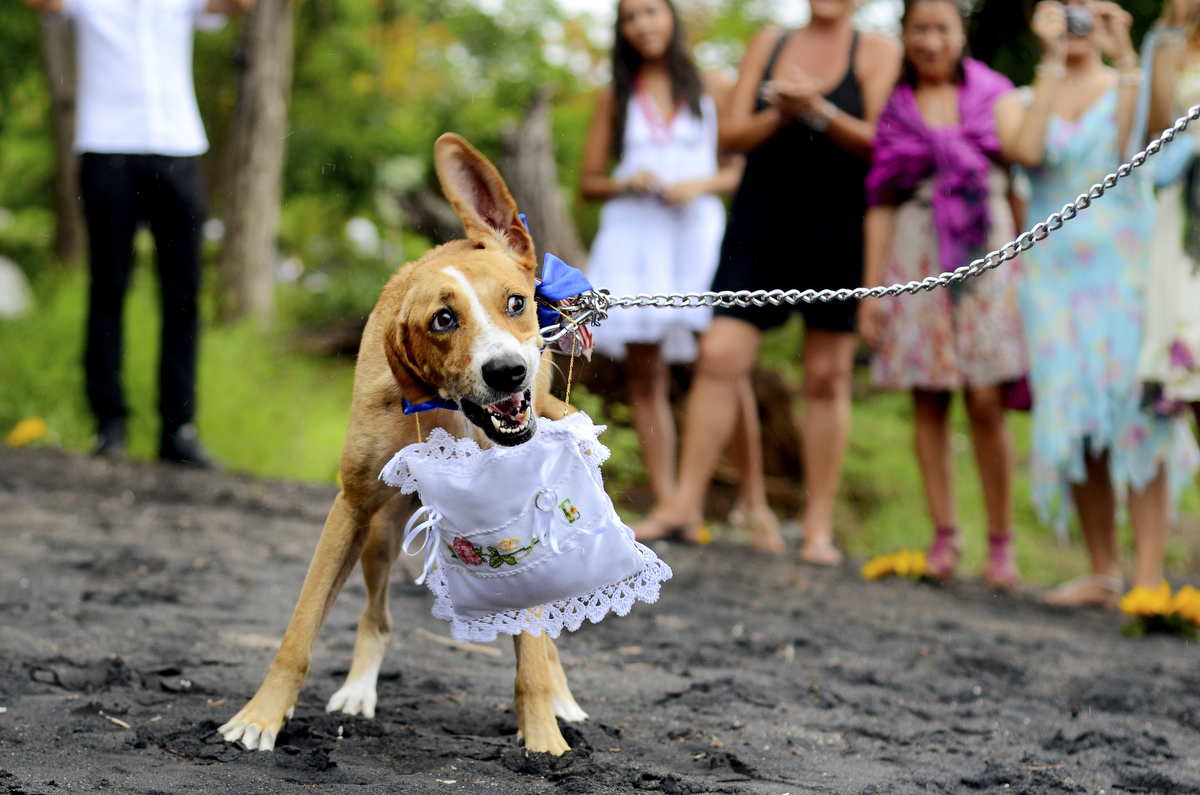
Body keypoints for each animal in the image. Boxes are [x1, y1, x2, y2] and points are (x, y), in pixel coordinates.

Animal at [222, 133, 590, 758]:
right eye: (443, 320)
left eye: (515, 303)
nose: (508, 372)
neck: (451, 414)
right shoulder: (350, 510)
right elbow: (300, 630)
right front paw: (261, 716)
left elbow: (533, 654)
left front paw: (544, 737)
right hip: (381, 535)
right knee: (377, 618)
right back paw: (358, 690)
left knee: (543, 641)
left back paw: (562, 700)